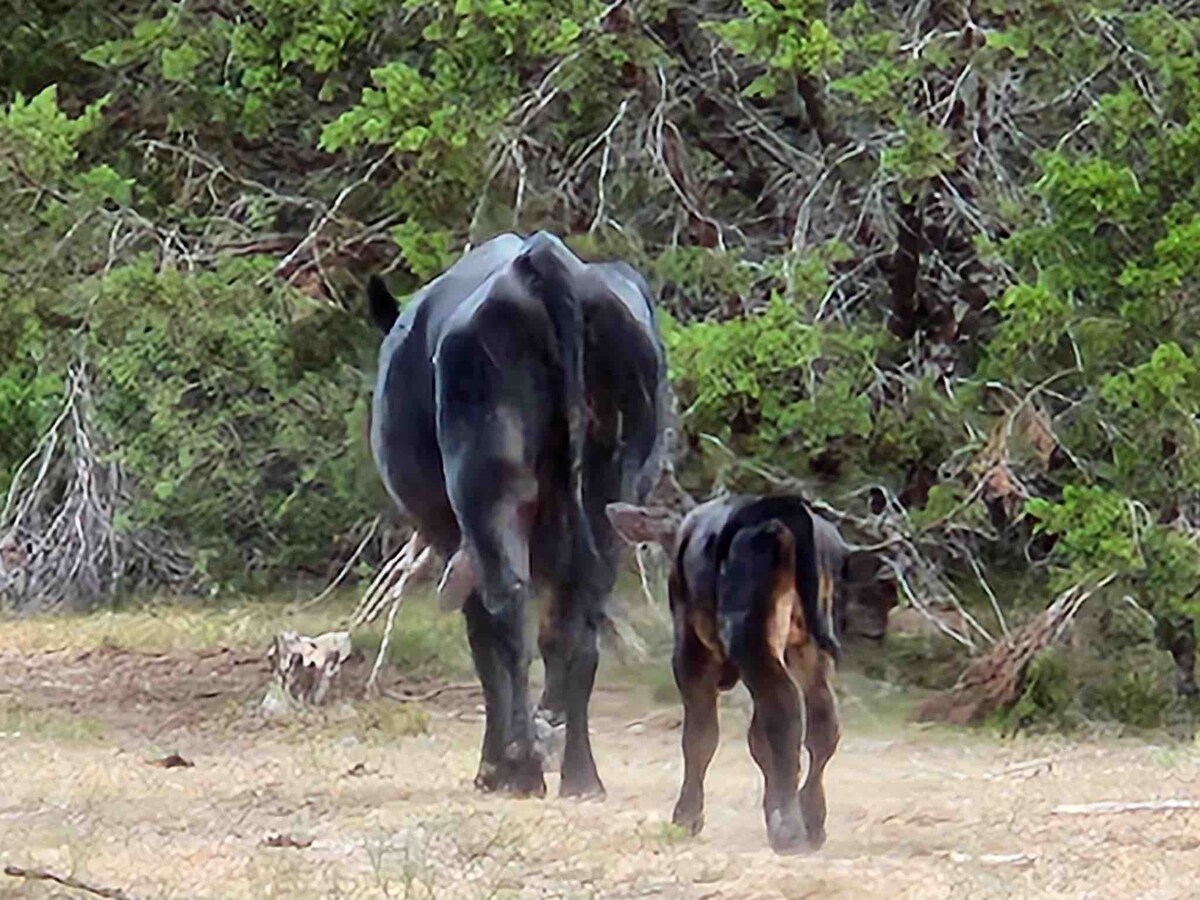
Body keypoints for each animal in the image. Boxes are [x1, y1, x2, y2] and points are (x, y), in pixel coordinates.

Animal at [367, 230, 667, 796]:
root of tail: (543, 260)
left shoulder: (452, 536)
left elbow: (481, 637)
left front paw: (495, 762)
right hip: (611, 496)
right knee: (577, 626)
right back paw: (580, 775)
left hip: (488, 489)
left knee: (508, 612)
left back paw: (521, 767)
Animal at [609, 496, 844, 854]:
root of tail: (785, 508)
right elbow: (756, 740)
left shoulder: (689, 649)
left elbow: (700, 736)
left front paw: (686, 816)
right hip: (807, 643)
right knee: (821, 723)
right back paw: (812, 820)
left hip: (750, 635)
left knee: (785, 715)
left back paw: (789, 830)